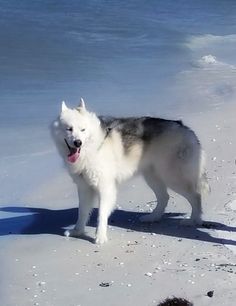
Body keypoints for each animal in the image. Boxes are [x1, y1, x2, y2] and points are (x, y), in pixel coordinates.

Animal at [50, 98, 209, 244]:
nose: (78, 143)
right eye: (69, 129)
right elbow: (82, 212)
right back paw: (153, 217)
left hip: (173, 178)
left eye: (83, 130)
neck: (92, 149)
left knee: (195, 196)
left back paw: (193, 220)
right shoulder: (84, 188)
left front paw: (100, 236)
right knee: (164, 197)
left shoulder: (105, 188)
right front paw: (77, 231)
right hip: (152, 177)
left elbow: (101, 214)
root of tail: (184, 127)